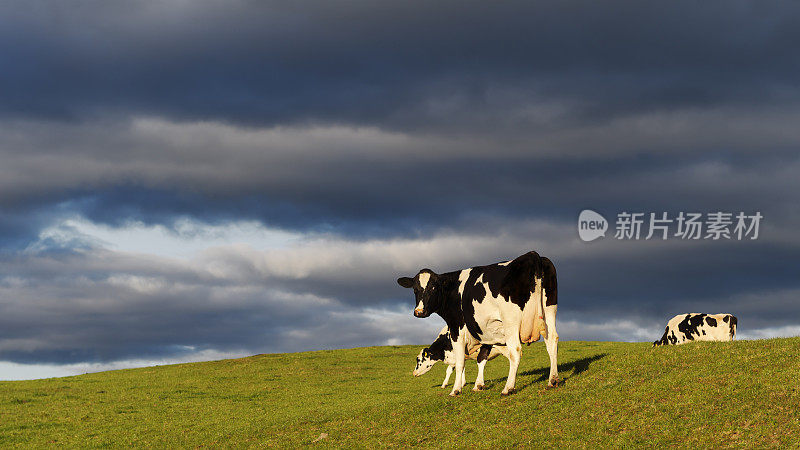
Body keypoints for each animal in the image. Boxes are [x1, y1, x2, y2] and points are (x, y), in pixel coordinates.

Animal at [396, 251, 560, 396]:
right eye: (415, 289)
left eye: (433, 287)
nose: (419, 312)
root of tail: (531, 255)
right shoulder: (485, 332)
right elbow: (481, 360)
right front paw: (478, 385)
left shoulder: (456, 328)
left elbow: (460, 363)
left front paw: (455, 390)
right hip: (549, 311)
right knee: (552, 341)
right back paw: (553, 380)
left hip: (511, 320)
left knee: (515, 350)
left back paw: (508, 388)